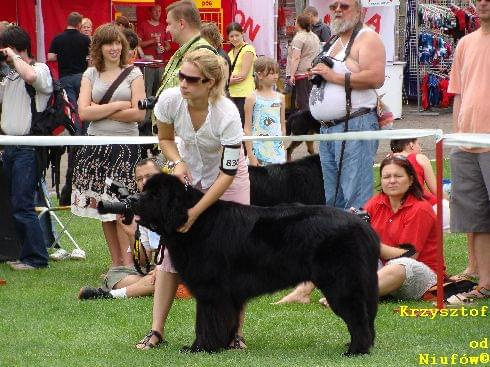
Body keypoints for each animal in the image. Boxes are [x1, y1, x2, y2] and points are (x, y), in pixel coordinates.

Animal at [136, 173, 380, 356]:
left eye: (155, 195)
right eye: (144, 190)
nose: (131, 199)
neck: (196, 221)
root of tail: (362, 225)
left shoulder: (211, 290)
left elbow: (206, 321)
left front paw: (201, 347)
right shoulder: (228, 295)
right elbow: (227, 319)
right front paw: (225, 344)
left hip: (341, 283)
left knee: (357, 315)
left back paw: (355, 350)